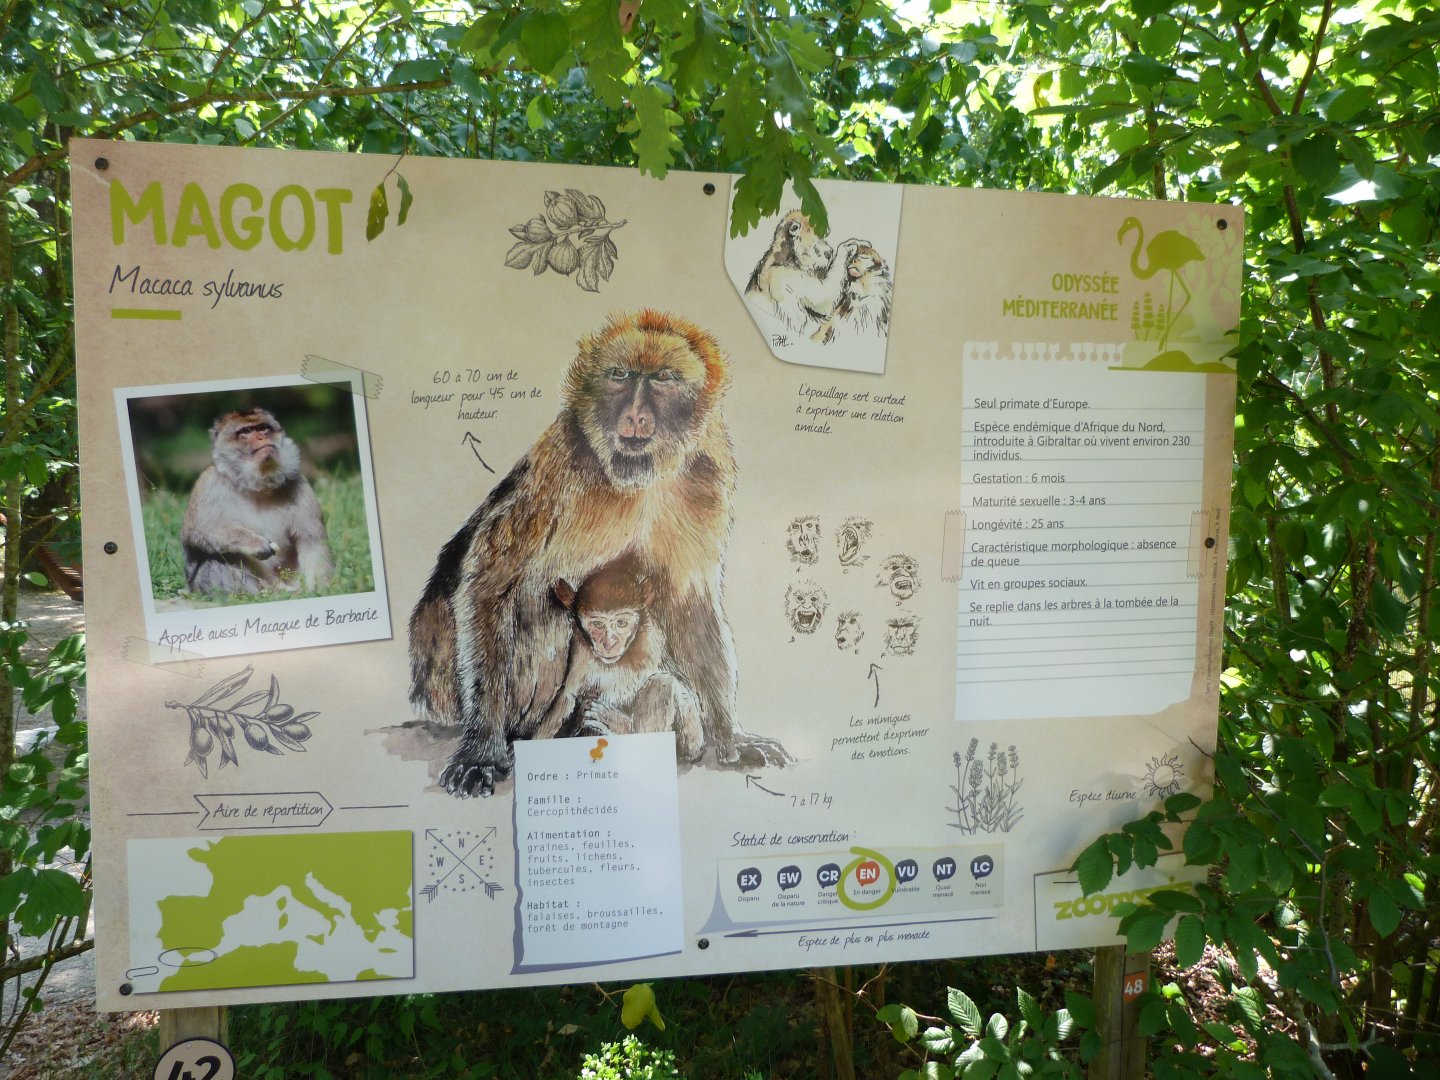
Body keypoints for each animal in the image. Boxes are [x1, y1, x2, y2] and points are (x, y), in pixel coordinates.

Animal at [181, 408, 333, 597]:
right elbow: (198, 529)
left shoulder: (299, 484)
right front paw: (255, 543)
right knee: (214, 558)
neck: (256, 485)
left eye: (263, 428)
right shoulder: (209, 483)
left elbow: (312, 540)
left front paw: (320, 590)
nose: (262, 438)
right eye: (246, 431)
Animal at [532, 555, 704, 763]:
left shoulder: (651, 640)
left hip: (692, 737)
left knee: (662, 683)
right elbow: (569, 695)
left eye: (621, 623)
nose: (609, 643)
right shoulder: (579, 646)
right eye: (598, 624)